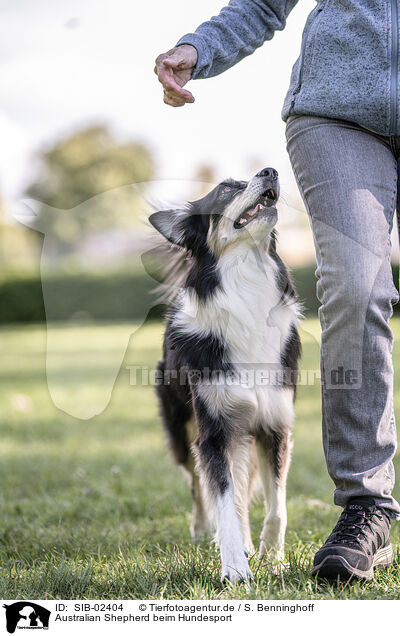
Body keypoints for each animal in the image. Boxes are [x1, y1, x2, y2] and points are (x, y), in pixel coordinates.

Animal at [150, 168, 300, 580]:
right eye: (225, 189)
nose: (270, 170)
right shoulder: (214, 433)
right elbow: (222, 500)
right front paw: (234, 568)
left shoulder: (274, 426)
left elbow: (276, 506)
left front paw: (273, 558)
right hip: (183, 428)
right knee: (198, 484)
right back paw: (204, 529)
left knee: (242, 490)